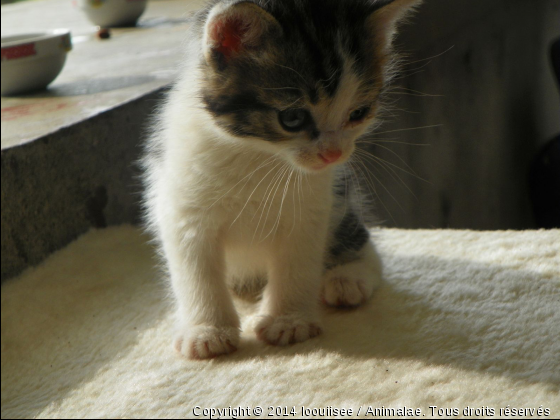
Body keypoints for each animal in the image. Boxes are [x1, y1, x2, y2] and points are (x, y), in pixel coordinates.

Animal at [143, 0, 420, 360]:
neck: (259, 153)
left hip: (341, 200)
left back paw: (348, 278)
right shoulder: (182, 207)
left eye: (358, 113)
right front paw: (206, 330)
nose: (333, 154)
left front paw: (288, 321)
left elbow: (297, 261)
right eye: (292, 118)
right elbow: (196, 271)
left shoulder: (313, 205)